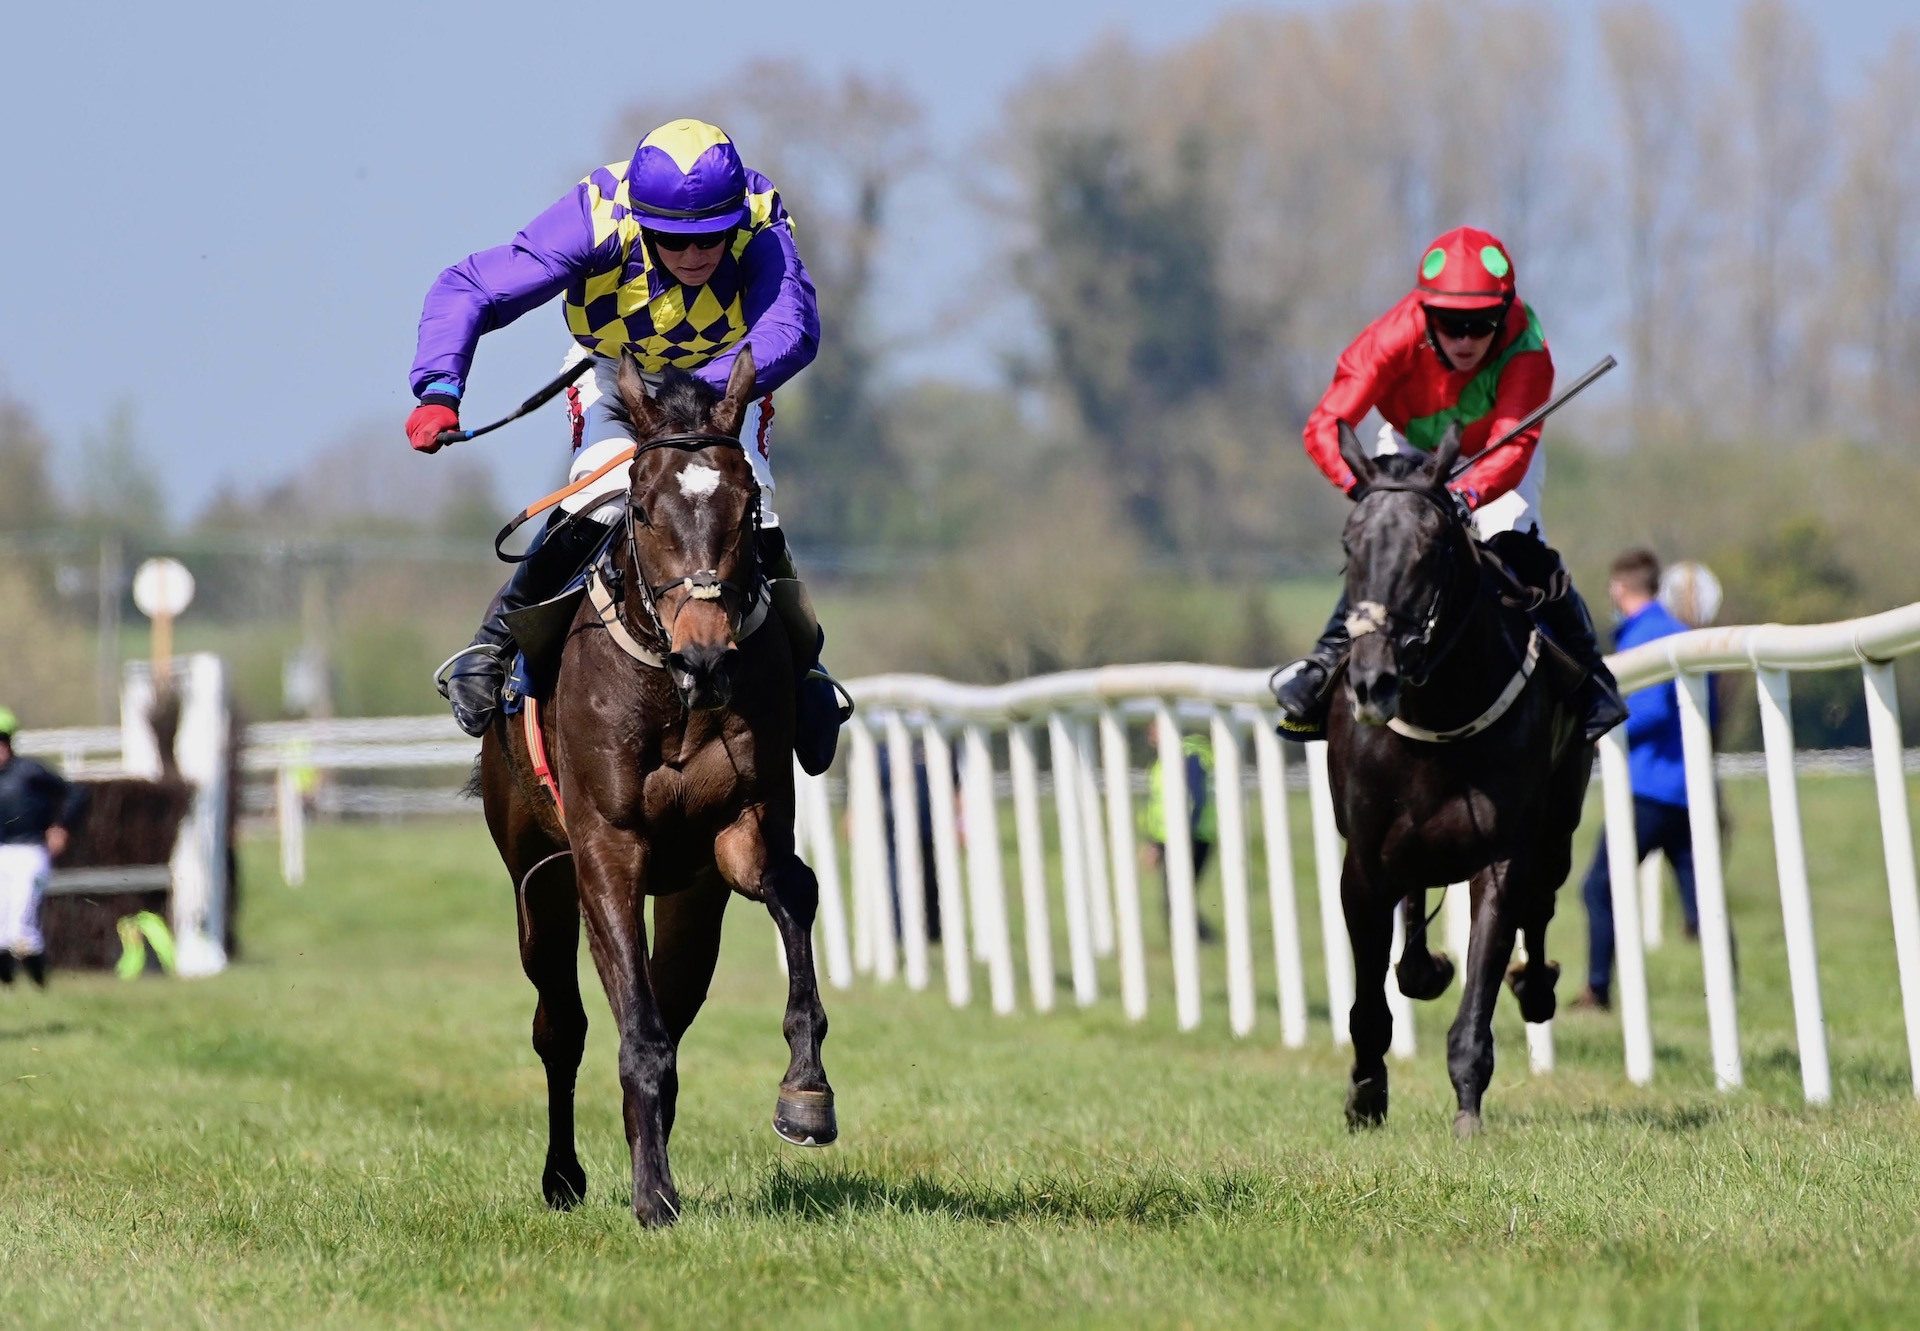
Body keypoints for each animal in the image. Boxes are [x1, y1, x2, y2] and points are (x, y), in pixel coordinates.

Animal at [474, 345, 833, 1221]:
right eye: (640, 509)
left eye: (748, 510)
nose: (705, 657)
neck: (674, 695)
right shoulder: (606, 848)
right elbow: (630, 1030)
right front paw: (651, 1195)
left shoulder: (740, 829)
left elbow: (793, 891)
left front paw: (805, 1091)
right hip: (536, 876)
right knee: (561, 1025)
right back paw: (564, 1175)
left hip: (690, 901)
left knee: (671, 1003)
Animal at [1320, 420, 1589, 1137]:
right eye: (1350, 544)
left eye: (1432, 547)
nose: (1373, 681)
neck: (1436, 710)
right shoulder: (1364, 864)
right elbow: (1369, 1002)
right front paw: (1365, 1096)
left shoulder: (1502, 856)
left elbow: (1480, 996)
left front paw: (1468, 1109)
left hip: (1560, 821)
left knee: (1542, 903)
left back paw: (1536, 986)